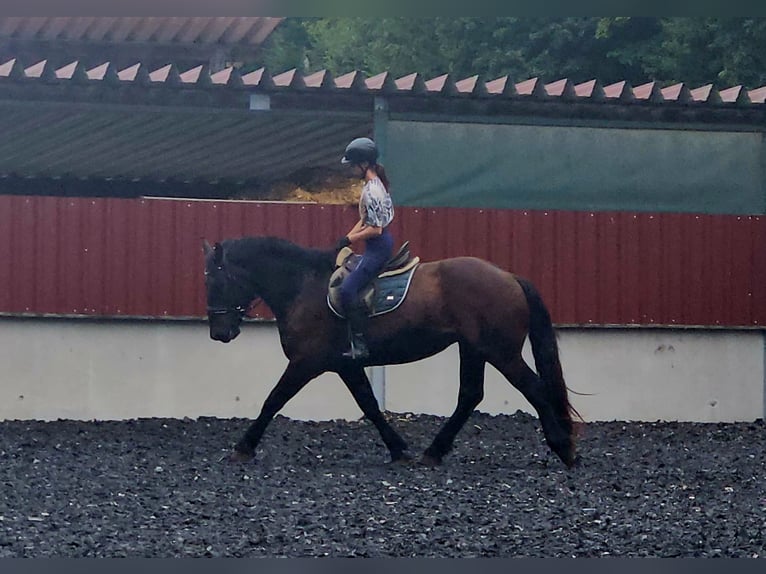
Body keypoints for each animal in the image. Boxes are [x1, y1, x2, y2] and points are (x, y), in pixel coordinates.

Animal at [204, 236, 584, 470]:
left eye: (216, 281)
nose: (219, 333)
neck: (303, 285)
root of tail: (509, 277)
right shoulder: (345, 365)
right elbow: (369, 404)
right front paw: (399, 449)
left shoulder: (306, 362)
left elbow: (273, 400)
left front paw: (243, 447)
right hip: (473, 348)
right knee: (470, 395)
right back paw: (433, 452)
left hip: (500, 351)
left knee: (533, 388)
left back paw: (564, 449)